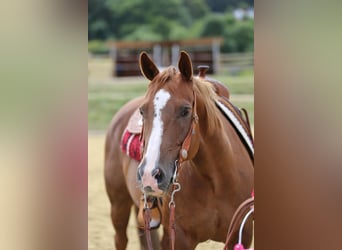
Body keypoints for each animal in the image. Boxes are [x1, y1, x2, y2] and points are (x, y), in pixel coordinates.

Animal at [105, 51, 254, 250]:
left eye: (185, 111)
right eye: (143, 111)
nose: (149, 174)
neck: (217, 181)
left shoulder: (241, 235)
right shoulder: (179, 238)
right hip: (118, 205)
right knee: (120, 238)